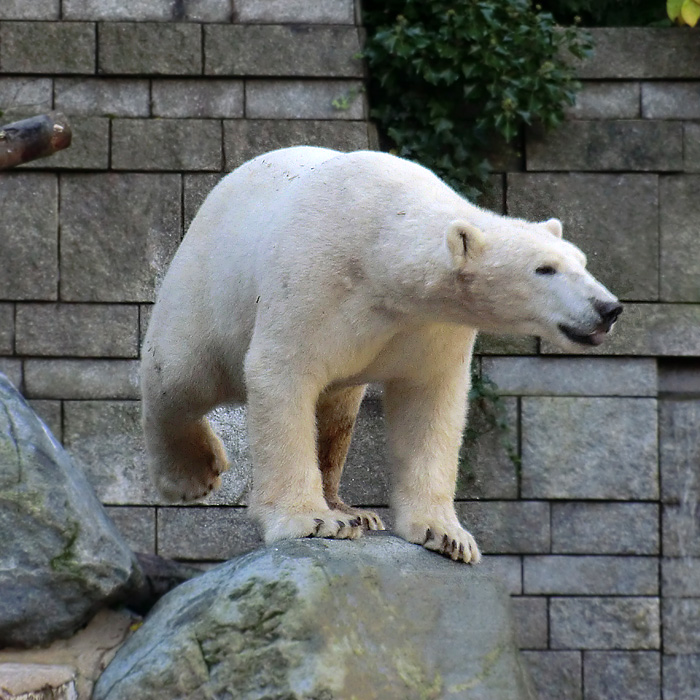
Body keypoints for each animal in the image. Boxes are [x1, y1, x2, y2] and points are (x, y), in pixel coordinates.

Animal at [139, 148, 620, 564]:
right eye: (544, 269)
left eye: (582, 262)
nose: (608, 308)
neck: (378, 248)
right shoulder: (312, 282)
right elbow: (283, 374)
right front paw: (311, 520)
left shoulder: (430, 327)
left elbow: (430, 404)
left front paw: (446, 535)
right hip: (207, 287)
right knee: (179, 374)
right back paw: (192, 474)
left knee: (337, 412)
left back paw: (351, 508)